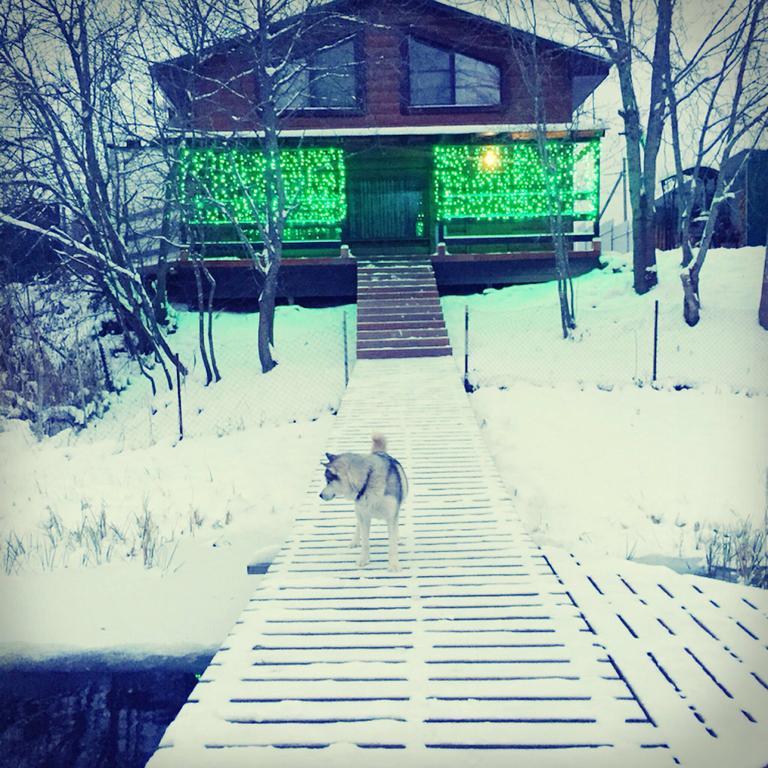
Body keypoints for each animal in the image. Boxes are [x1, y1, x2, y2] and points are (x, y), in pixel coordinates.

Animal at [320, 432, 408, 568]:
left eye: (328, 481)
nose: (320, 495)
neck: (368, 480)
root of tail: (379, 452)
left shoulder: (391, 515)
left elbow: (392, 544)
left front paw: (393, 565)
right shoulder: (364, 516)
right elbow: (365, 541)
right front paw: (364, 559)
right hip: (359, 511)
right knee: (358, 526)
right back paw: (355, 540)